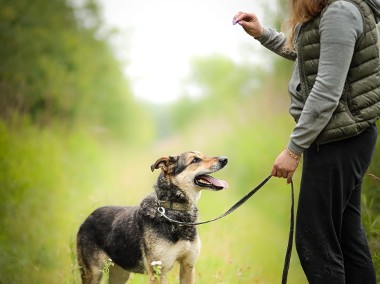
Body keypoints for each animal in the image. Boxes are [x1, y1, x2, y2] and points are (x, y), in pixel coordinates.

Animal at [75, 150, 227, 282]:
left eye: (203, 155)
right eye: (195, 160)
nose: (225, 159)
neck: (172, 209)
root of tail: (88, 217)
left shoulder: (188, 267)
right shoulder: (158, 272)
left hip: (120, 274)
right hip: (93, 273)